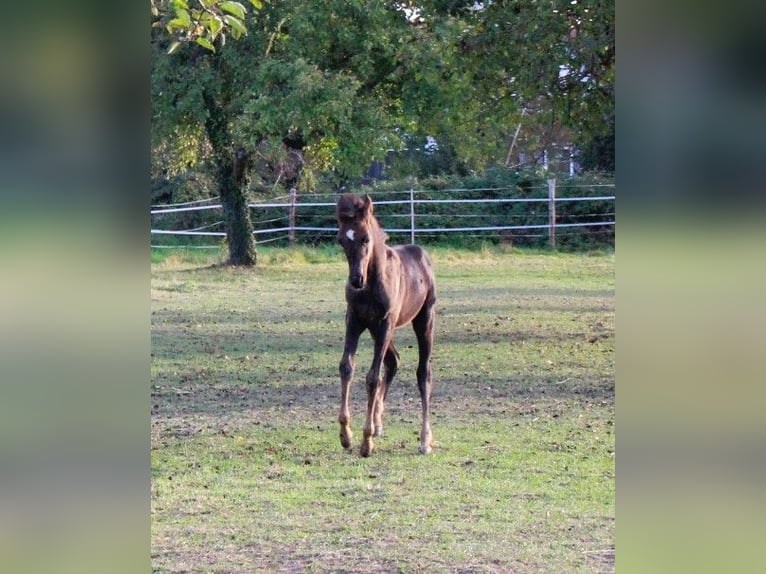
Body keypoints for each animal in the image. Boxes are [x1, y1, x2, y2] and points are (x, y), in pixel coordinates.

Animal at [336, 195, 438, 460]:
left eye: (366, 238)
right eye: (340, 240)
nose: (356, 280)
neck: (373, 281)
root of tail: (422, 255)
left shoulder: (384, 324)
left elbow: (373, 377)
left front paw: (366, 441)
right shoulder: (355, 321)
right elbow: (346, 367)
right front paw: (346, 435)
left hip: (423, 320)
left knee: (423, 373)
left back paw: (425, 440)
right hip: (378, 329)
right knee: (393, 361)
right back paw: (379, 422)